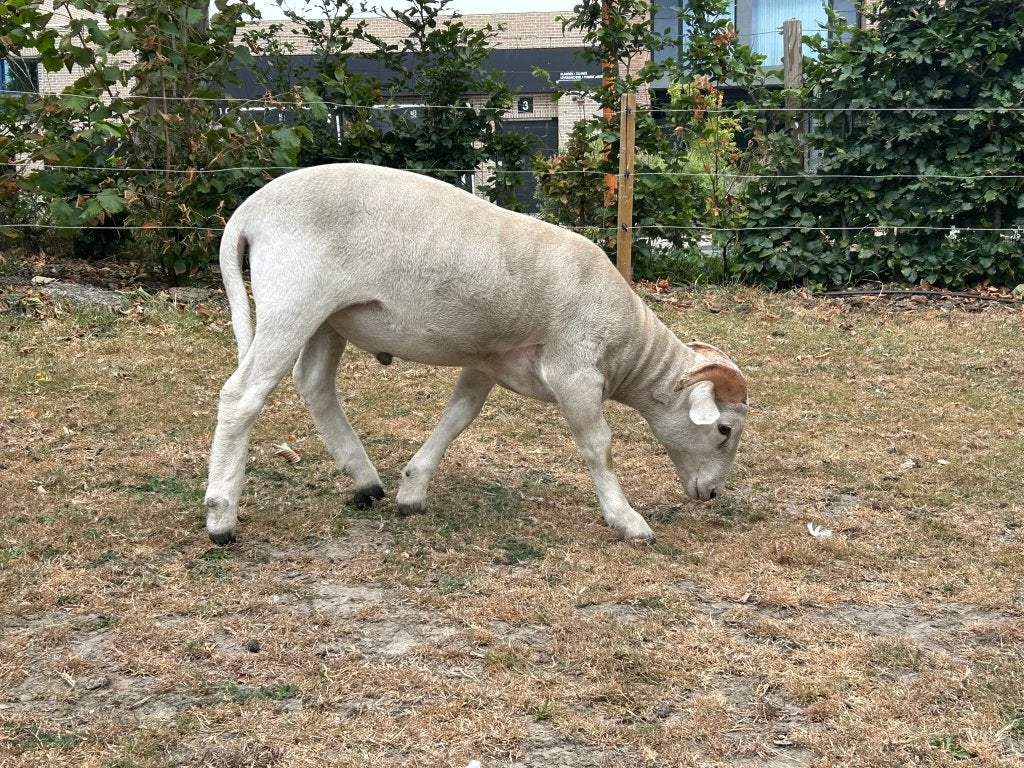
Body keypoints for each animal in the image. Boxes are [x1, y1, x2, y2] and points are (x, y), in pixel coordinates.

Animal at [204, 164, 748, 544]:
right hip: (295, 298)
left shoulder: (488, 363)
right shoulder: (574, 371)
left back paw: (366, 482)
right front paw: (628, 520)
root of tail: (248, 214)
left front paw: (412, 490)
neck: (629, 351)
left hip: (329, 317)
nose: (712, 494)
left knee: (314, 384)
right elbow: (598, 445)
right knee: (242, 395)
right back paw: (221, 516)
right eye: (724, 430)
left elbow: (457, 418)